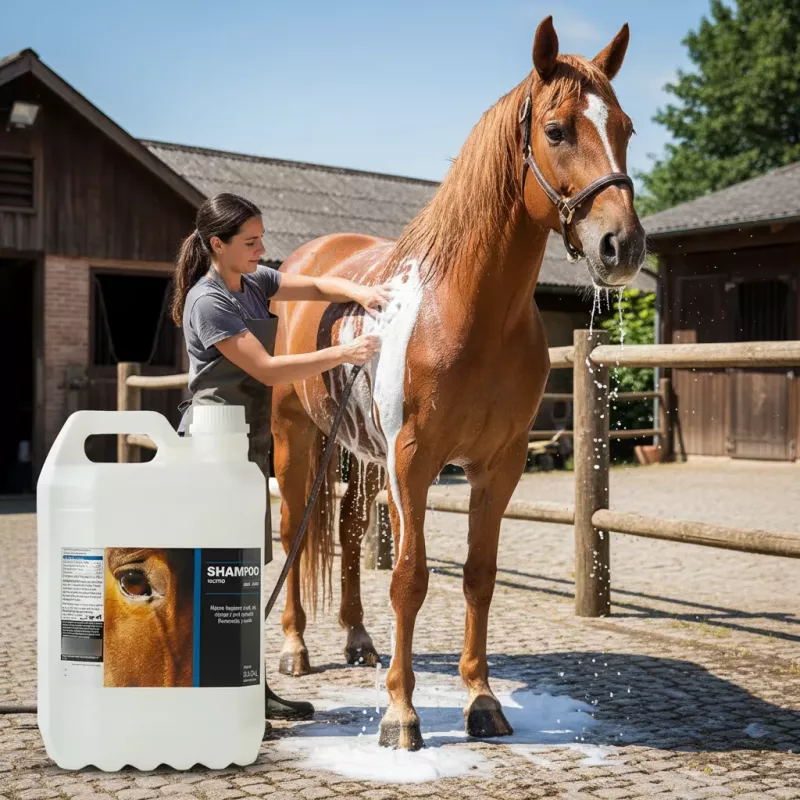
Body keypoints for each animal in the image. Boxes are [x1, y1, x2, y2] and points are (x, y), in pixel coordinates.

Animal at [270, 15, 645, 750]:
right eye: (556, 130)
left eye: (625, 126)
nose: (621, 245)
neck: (468, 310)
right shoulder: (413, 463)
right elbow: (410, 578)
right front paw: (401, 713)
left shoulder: (497, 466)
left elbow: (478, 576)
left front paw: (481, 699)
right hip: (294, 439)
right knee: (292, 529)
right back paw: (297, 647)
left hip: (361, 455)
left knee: (350, 534)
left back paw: (356, 639)